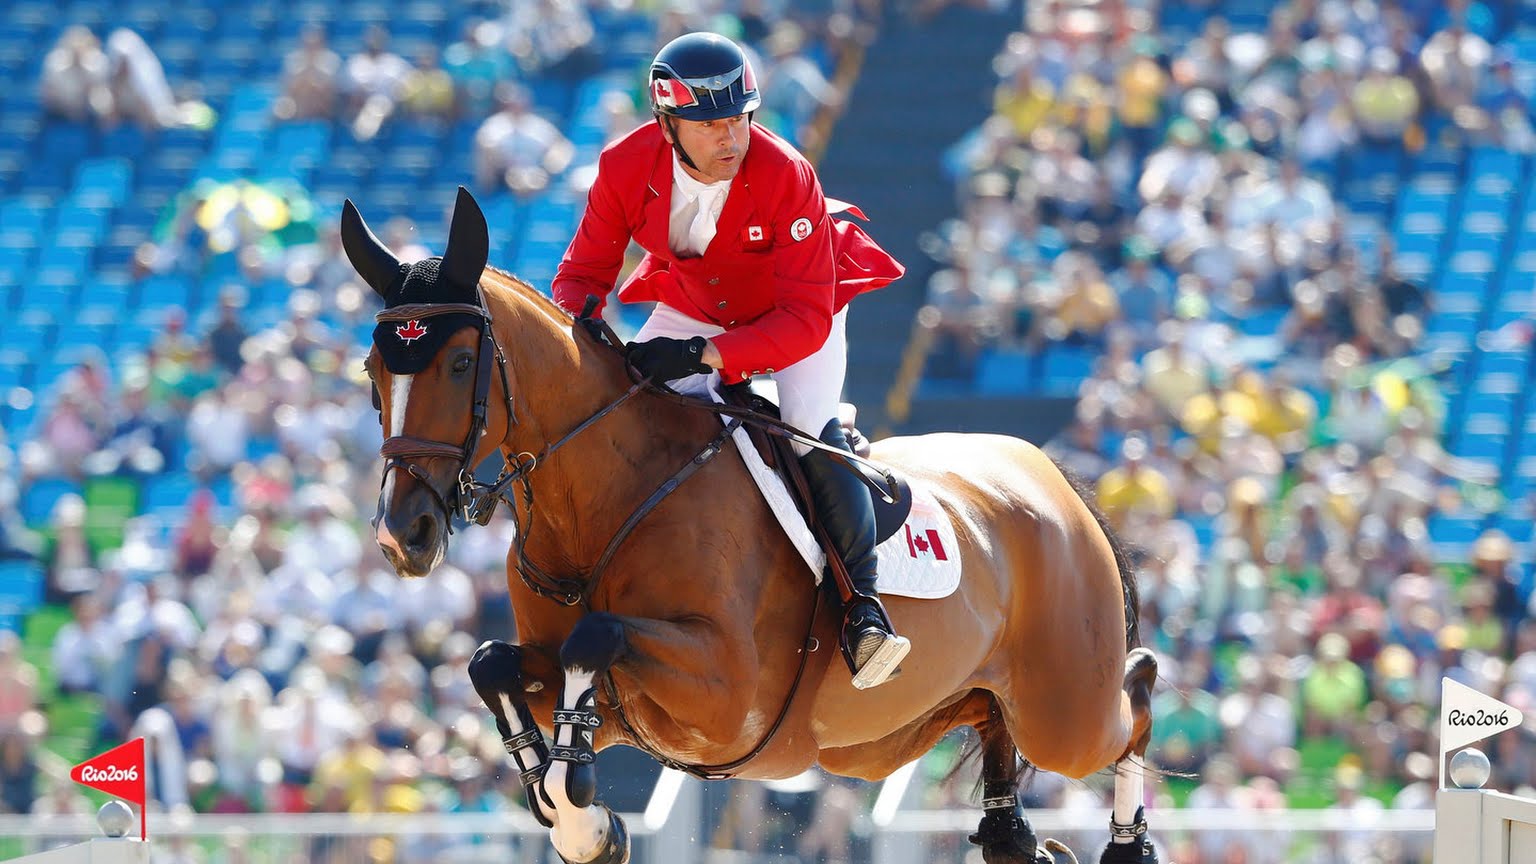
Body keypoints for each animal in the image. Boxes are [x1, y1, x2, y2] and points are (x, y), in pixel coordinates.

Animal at [342, 185, 1155, 854]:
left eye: (458, 365)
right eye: (373, 373)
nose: (402, 536)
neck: (602, 497)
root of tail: (1053, 479)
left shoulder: (725, 690)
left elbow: (595, 635)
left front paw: (579, 811)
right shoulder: (611, 692)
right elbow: (493, 663)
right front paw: (575, 812)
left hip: (1064, 713)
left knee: (1130, 703)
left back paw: (1130, 832)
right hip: (896, 733)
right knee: (999, 738)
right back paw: (1017, 836)